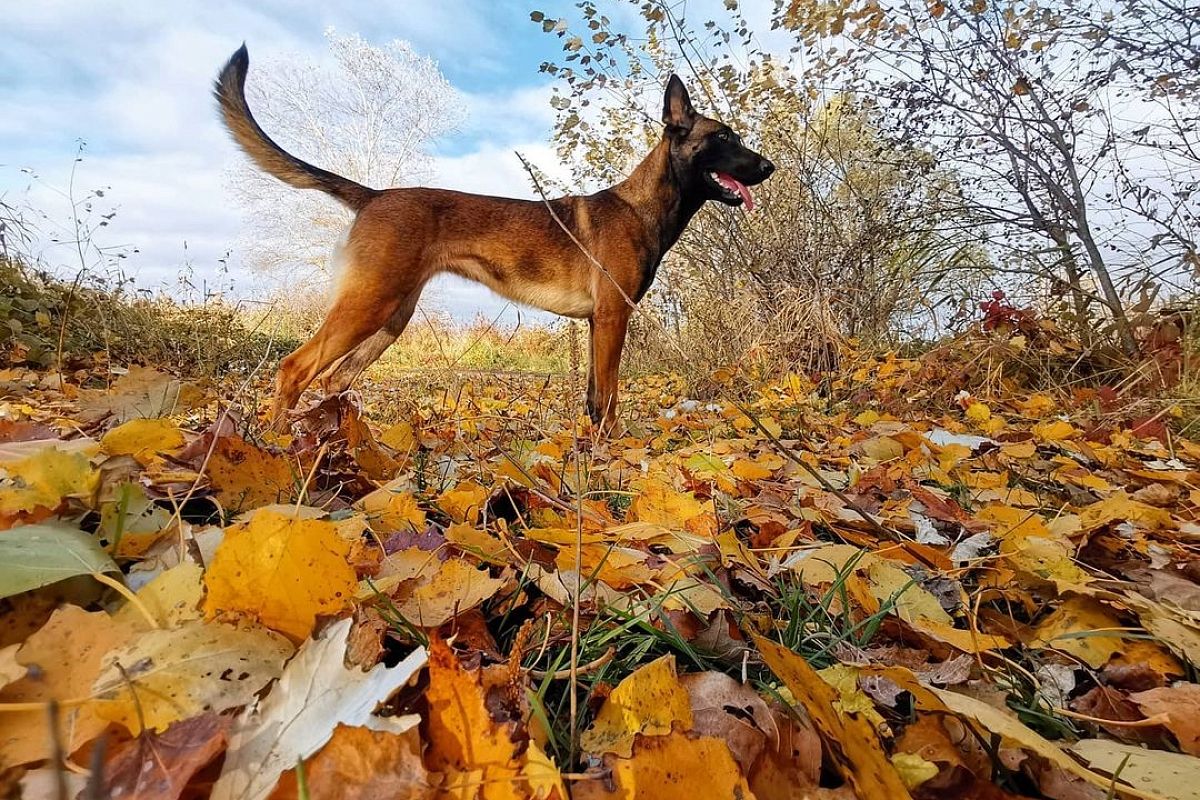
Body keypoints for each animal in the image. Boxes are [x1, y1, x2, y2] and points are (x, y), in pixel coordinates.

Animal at [213, 45, 777, 431]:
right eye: (722, 137)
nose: (769, 167)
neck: (640, 207)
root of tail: (373, 195)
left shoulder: (597, 323)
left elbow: (594, 399)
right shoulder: (613, 318)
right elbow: (609, 399)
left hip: (390, 317)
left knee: (333, 379)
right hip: (368, 306)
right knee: (294, 369)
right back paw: (279, 445)